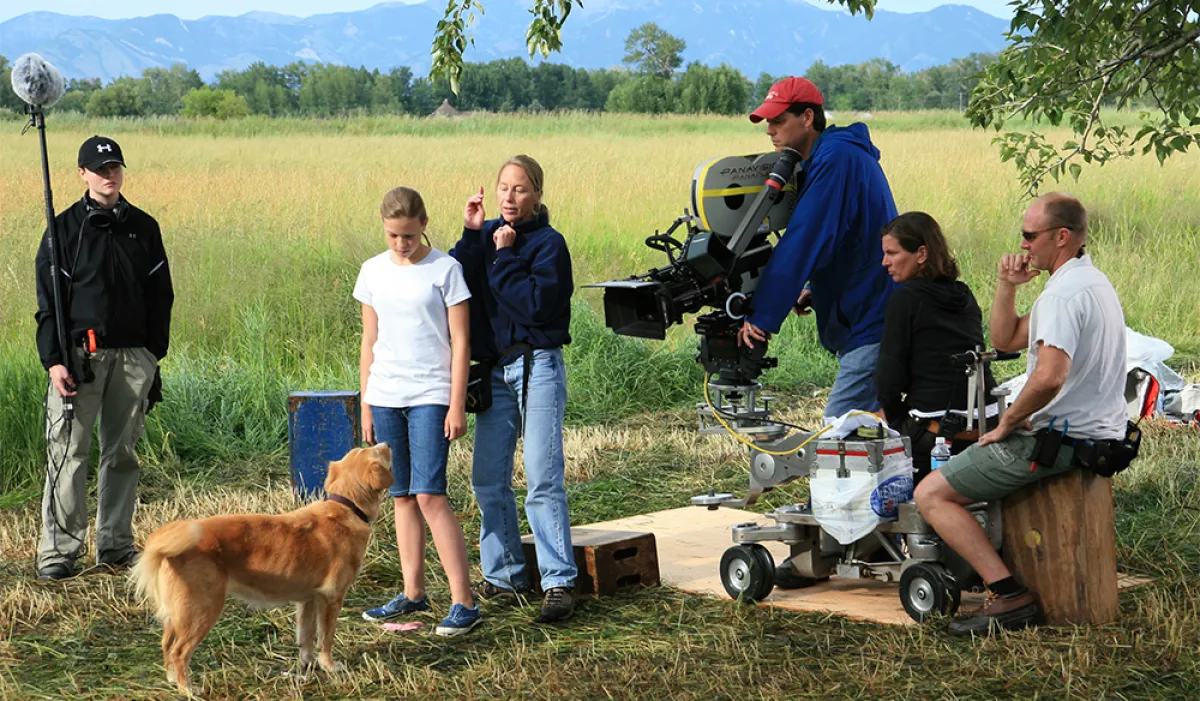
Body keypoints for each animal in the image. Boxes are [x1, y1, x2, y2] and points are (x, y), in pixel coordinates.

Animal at [130, 444, 393, 696]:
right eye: (378, 451)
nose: (385, 442)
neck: (346, 506)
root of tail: (167, 548)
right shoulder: (331, 598)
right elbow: (325, 638)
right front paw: (328, 665)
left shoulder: (307, 599)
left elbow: (305, 637)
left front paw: (307, 664)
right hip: (202, 611)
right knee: (179, 651)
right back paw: (187, 689)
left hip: (179, 614)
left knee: (166, 644)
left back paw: (172, 679)